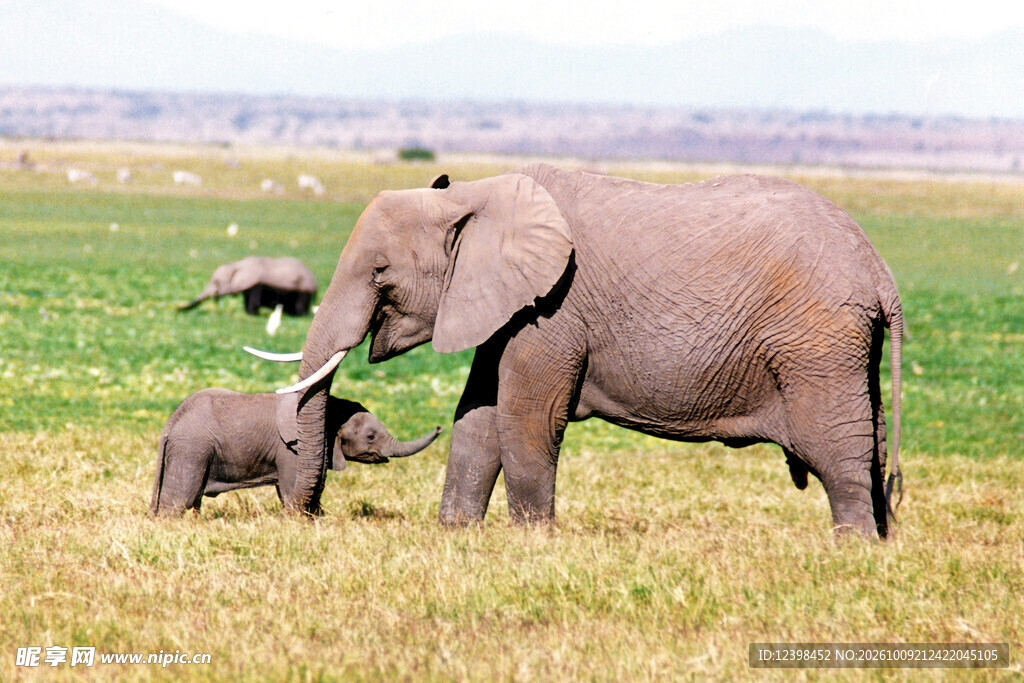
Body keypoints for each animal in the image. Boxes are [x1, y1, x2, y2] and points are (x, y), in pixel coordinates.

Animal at [149, 388, 442, 516]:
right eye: (371, 437)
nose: (440, 426)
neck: (331, 406)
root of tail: (171, 422)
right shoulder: (292, 449)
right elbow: (292, 489)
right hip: (191, 449)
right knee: (181, 499)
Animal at [180, 256, 317, 315]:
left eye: (217, 282)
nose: (178, 309)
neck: (237, 265)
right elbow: (246, 299)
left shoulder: (257, 284)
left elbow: (254, 300)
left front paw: (252, 314)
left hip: (303, 289)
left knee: (300, 303)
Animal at [250, 164, 903, 538]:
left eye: (380, 273)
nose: (306, 517)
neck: (475, 196)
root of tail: (881, 275)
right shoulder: (508, 304)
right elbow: (478, 415)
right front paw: (456, 536)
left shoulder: (553, 308)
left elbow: (524, 416)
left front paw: (531, 542)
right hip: (846, 348)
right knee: (867, 442)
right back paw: (881, 541)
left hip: (817, 343)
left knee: (835, 449)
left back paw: (853, 550)